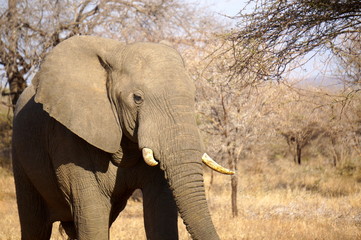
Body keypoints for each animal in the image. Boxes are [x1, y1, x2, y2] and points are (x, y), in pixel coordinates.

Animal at [11, 35, 233, 240]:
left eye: (194, 97)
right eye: (137, 98)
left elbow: (161, 210)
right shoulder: (70, 139)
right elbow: (92, 216)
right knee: (35, 225)